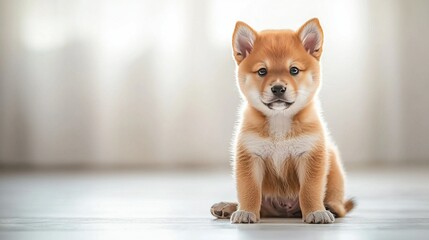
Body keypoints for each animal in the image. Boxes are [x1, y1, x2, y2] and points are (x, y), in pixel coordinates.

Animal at [211, 18, 354, 223]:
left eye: (293, 70)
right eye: (262, 71)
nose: (278, 88)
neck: (280, 121)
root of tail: (283, 211)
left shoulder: (311, 155)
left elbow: (310, 190)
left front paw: (315, 211)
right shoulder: (250, 156)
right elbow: (249, 190)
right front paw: (246, 211)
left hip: (333, 163)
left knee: (339, 206)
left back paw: (328, 208)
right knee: (260, 206)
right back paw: (227, 207)